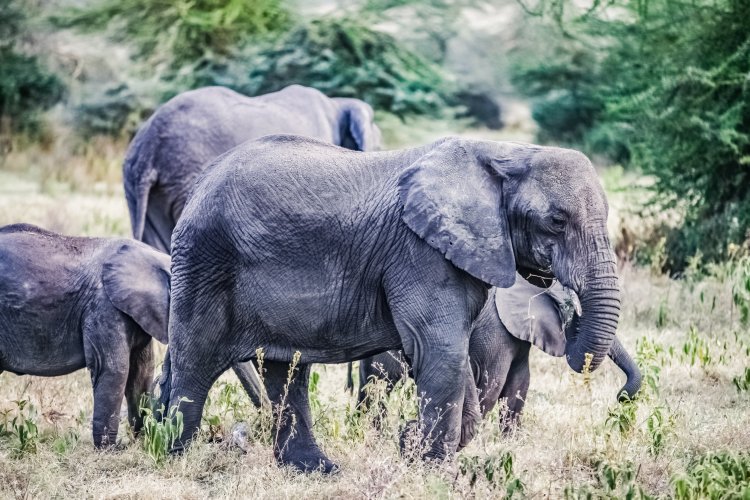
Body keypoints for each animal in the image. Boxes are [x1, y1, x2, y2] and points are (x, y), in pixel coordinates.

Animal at [354, 274, 648, 430]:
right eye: (573, 309)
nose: (620, 397)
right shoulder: (495, 331)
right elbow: (492, 384)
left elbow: (519, 384)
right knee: (383, 384)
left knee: (368, 386)